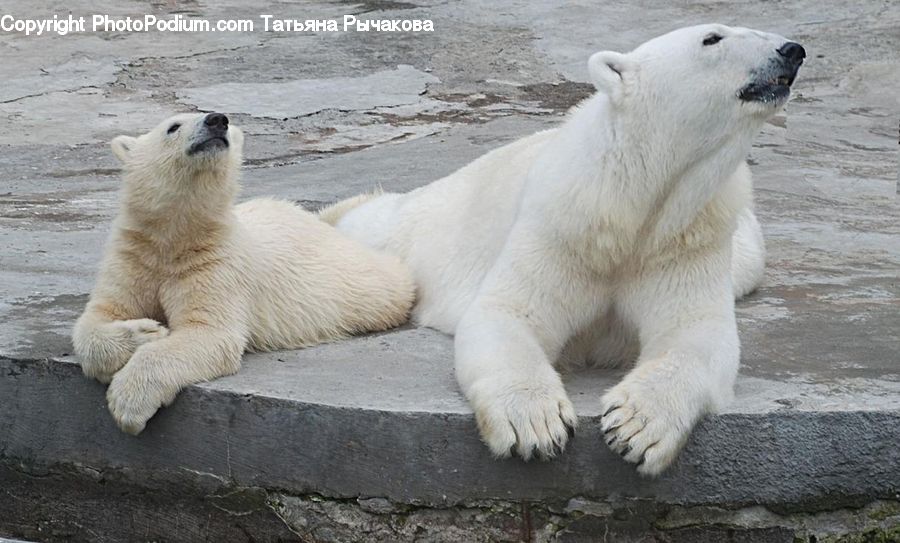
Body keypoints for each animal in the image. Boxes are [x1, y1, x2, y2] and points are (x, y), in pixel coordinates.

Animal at [73, 112, 415, 435]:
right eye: (173, 127)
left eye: (221, 121)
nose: (217, 120)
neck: (173, 239)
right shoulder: (133, 257)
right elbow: (98, 318)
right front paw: (145, 331)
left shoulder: (217, 264)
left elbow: (211, 333)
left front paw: (128, 403)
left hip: (350, 279)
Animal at [320, 24, 805, 475]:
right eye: (712, 38)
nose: (792, 49)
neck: (633, 203)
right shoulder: (563, 227)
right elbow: (508, 314)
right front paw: (534, 425)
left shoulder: (686, 238)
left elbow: (694, 331)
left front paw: (635, 426)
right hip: (426, 225)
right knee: (377, 224)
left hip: (745, 247)